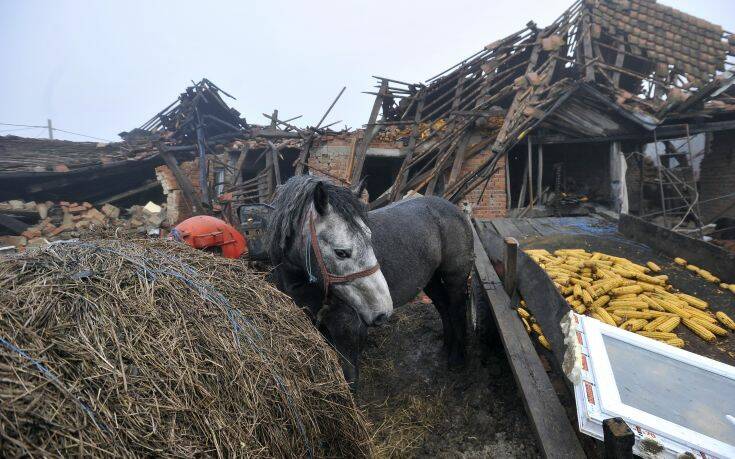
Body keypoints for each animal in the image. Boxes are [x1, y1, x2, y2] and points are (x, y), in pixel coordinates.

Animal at [268, 178, 474, 386]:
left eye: (370, 238)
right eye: (341, 252)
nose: (383, 312)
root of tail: (455, 209)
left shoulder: (348, 332)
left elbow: (350, 378)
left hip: (455, 279)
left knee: (457, 310)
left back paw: (457, 359)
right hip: (431, 280)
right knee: (443, 306)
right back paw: (447, 345)